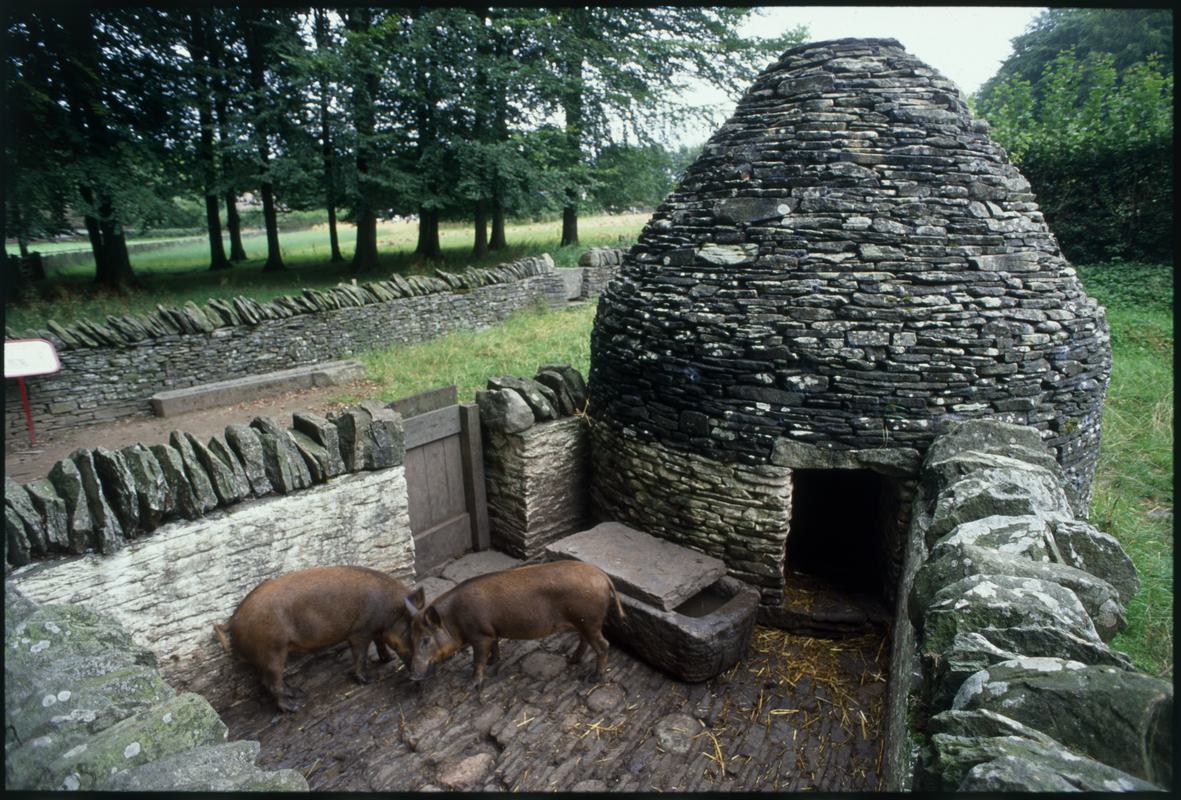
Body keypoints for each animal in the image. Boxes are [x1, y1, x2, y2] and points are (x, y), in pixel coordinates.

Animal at [213, 565, 414, 712]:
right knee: (269, 682)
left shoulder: (376, 630)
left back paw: (297, 692)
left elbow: (380, 644)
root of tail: (232, 620)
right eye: (416, 630)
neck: (390, 611)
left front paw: (388, 659)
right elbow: (360, 655)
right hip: (271, 649)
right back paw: (295, 707)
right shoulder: (360, 631)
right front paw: (368, 680)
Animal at [403, 560, 624, 691]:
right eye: (411, 637)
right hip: (584, 622)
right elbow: (494, 648)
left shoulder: (480, 635)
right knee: (585, 641)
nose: (412, 675)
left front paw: (471, 685)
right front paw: (493, 662)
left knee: (603, 645)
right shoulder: (491, 632)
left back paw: (594, 678)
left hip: (589, 620)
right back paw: (571, 660)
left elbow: (477, 660)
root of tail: (604, 577)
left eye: (425, 639)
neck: (454, 619)